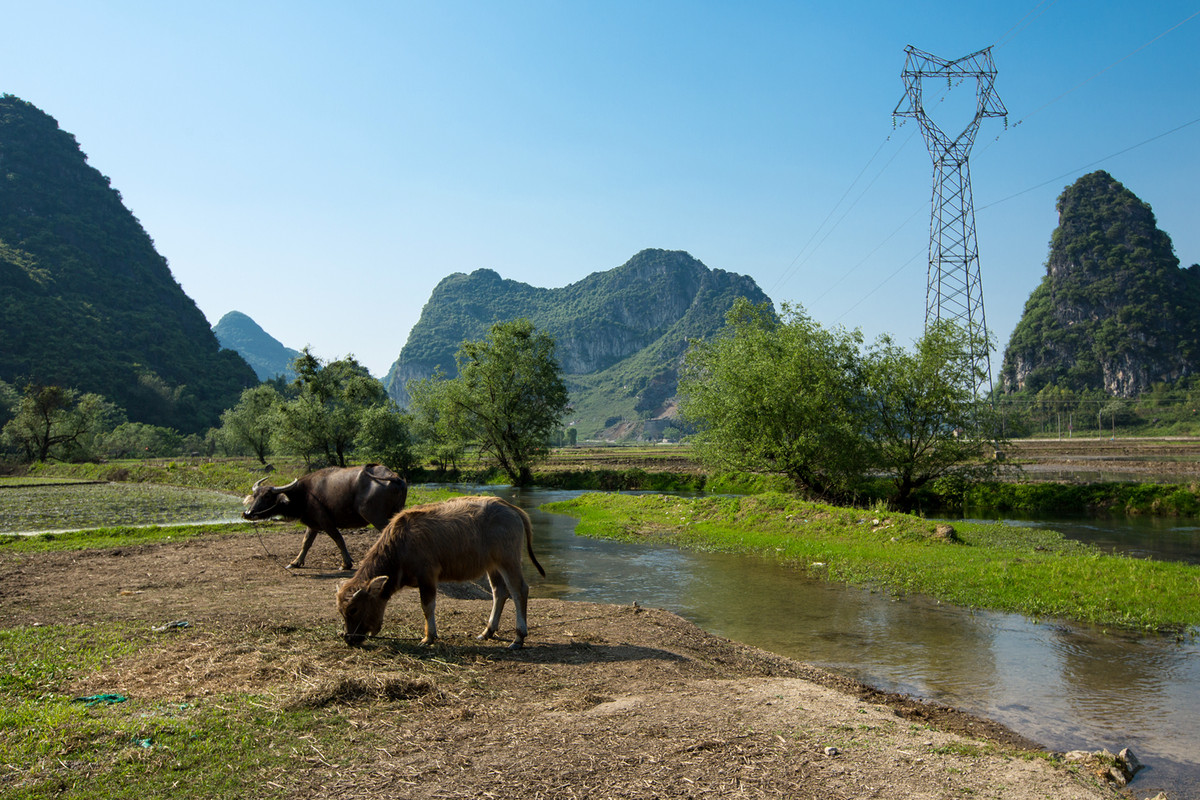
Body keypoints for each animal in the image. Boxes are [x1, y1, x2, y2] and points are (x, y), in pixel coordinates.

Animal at [242, 465, 408, 573]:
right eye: (255, 495)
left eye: (267, 496)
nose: (248, 513)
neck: (305, 494)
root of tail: (395, 478)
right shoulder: (313, 524)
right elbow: (306, 542)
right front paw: (295, 562)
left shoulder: (326, 522)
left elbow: (339, 539)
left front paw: (346, 564)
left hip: (375, 516)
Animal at [338, 494, 544, 652]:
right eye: (341, 611)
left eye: (353, 609)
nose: (349, 638)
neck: (401, 543)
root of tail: (509, 507)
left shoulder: (427, 576)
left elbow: (427, 606)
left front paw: (428, 637)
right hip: (492, 565)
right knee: (499, 592)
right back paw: (488, 632)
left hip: (508, 560)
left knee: (518, 590)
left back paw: (518, 638)